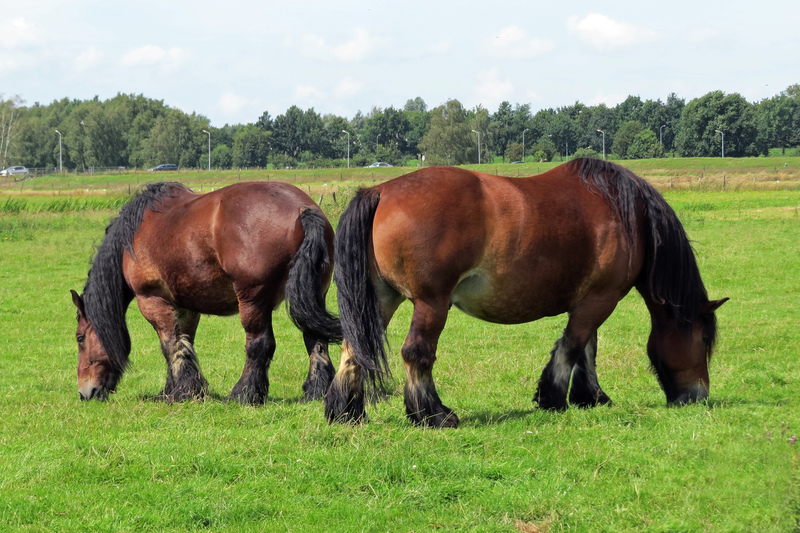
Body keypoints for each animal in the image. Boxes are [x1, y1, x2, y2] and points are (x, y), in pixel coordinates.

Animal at [70, 181, 341, 404]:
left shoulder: (153, 301)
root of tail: (303, 208)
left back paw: (243, 394)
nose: (85, 392)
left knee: (259, 343)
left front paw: (180, 393)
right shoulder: (186, 307)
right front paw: (181, 390)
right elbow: (184, 344)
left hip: (253, 301)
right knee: (316, 341)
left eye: (80, 338)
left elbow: (169, 346)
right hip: (311, 296)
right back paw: (315, 392)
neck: (133, 237)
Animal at [325, 158, 727, 428]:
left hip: (382, 299)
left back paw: (345, 412)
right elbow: (573, 345)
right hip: (430, 304)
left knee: (353, 347)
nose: (698, 396)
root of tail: (380, 190)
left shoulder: (592, 299)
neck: (629, 215)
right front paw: (554, 397)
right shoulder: (600, 298)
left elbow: (587, 349)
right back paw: (434, 415)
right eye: (702, 339)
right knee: (417, 354)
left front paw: (591, 396)